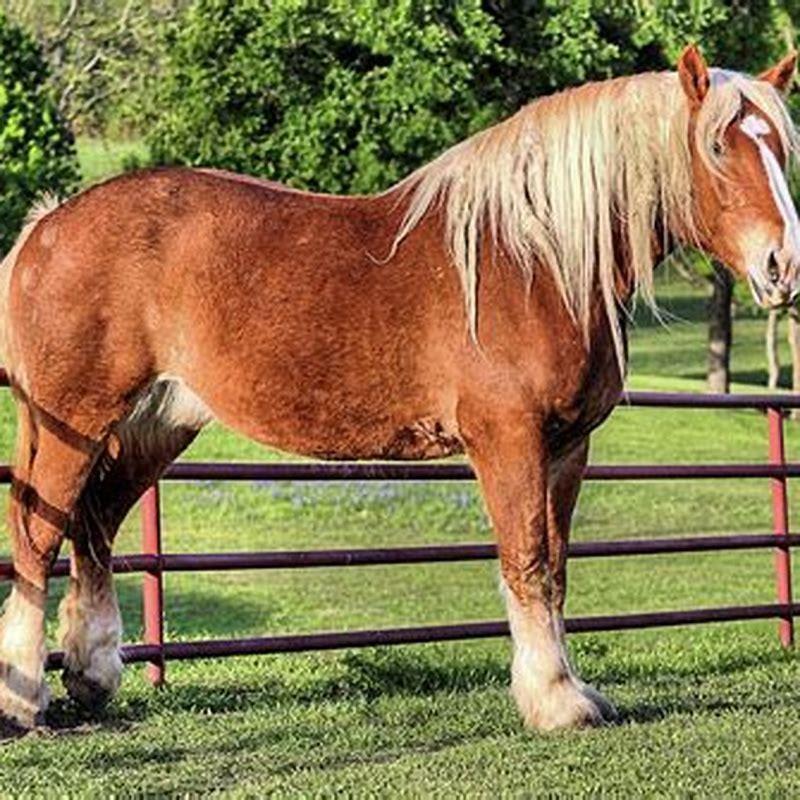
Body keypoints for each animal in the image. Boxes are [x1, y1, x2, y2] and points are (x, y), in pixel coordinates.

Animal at [0, 44, 797, 732]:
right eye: (719, 147)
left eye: (782, 149)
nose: (782, 264)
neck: (535, 259)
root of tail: (48, 225)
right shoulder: (509, 441)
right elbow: (528, 563)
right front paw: (553, 701)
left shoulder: (568, 449)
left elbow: (558, 569)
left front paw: (572, 689)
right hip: (75, 418)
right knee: (39, 536)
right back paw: (24, 696)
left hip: (154, 423)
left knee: (95, 524)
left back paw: (92, 674)